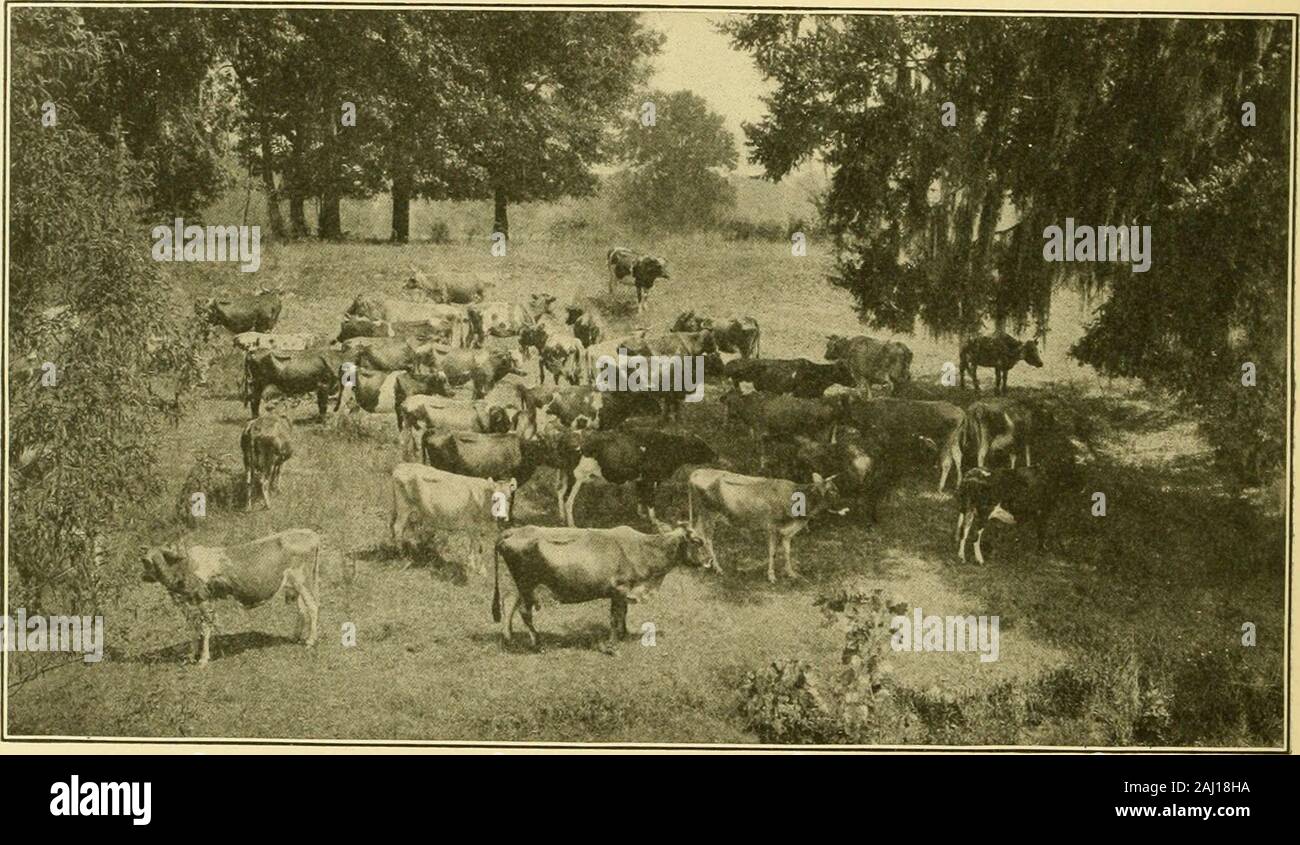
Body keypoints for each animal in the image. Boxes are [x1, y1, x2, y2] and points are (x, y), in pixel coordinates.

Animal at [137, 525, 322, 665]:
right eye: (144, 560)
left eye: (151, 560)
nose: (144, 575)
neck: (185, 567)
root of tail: (310, 533)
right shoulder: (189, 605)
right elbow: (193, 629)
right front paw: (190, 655)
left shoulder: (205, 599)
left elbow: (205, 627)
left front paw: (203, 658)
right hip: (295, 585)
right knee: (302, 610)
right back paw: (295, 636)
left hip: (303, 580)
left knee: (312, 607)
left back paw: (310, 641)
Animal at [488, 520, 712, 652]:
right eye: (697, 541)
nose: (710, 560)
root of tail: (514, 530)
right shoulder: (619, 588)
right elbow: (614, 617)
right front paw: (612, 646)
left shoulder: (624, 591)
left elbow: (623, 613)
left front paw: (624, 635)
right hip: (528, 582)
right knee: (524, 611)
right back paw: (537, 644)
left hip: (522, 584)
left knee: (509, 602)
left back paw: (509, 638)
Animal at [561, 431, 722, 522]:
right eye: (699, 445)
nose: (716, 455)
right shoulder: (651, 479)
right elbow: (650, 499)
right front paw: (654, 520)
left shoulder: (641, 479)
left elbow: (640, 497)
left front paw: (641, 515)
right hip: (577, 477)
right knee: (568, 501)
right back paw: (572, 525)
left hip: (567, 476)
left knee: (560, 494)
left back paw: (562, 519)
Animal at [691, 467, 842, 579]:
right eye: (832, 491)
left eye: (836, 489)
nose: (843, 506)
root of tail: (696, 472)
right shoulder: (772, 527)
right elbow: (772, 552)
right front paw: (771, 576)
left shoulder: (787, 532)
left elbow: (787, 551)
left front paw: (791, 573)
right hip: (708, 513)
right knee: (707, 539)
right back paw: (718, 568)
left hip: (702, 514)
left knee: (697, 534)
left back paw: (702, 563)